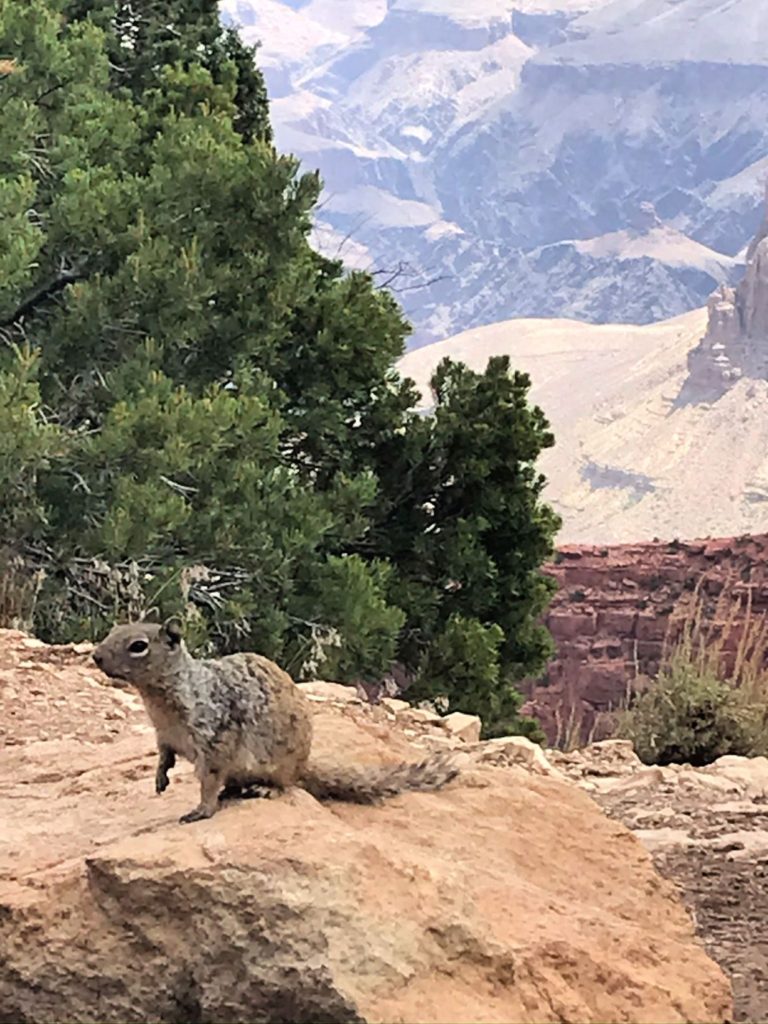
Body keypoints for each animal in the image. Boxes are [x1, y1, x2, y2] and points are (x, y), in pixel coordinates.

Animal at [93, 614, 460, 823]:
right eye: (114, 629)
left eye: (138, 646)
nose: (96, 656)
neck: (161, 698)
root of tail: (304, 764)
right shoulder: (164, 736)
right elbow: (164, 756)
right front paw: (160, 779)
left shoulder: (216, 740)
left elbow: (209, 781)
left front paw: (201, 810)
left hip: (275, 765)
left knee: (286, 786)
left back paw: (261, 789)